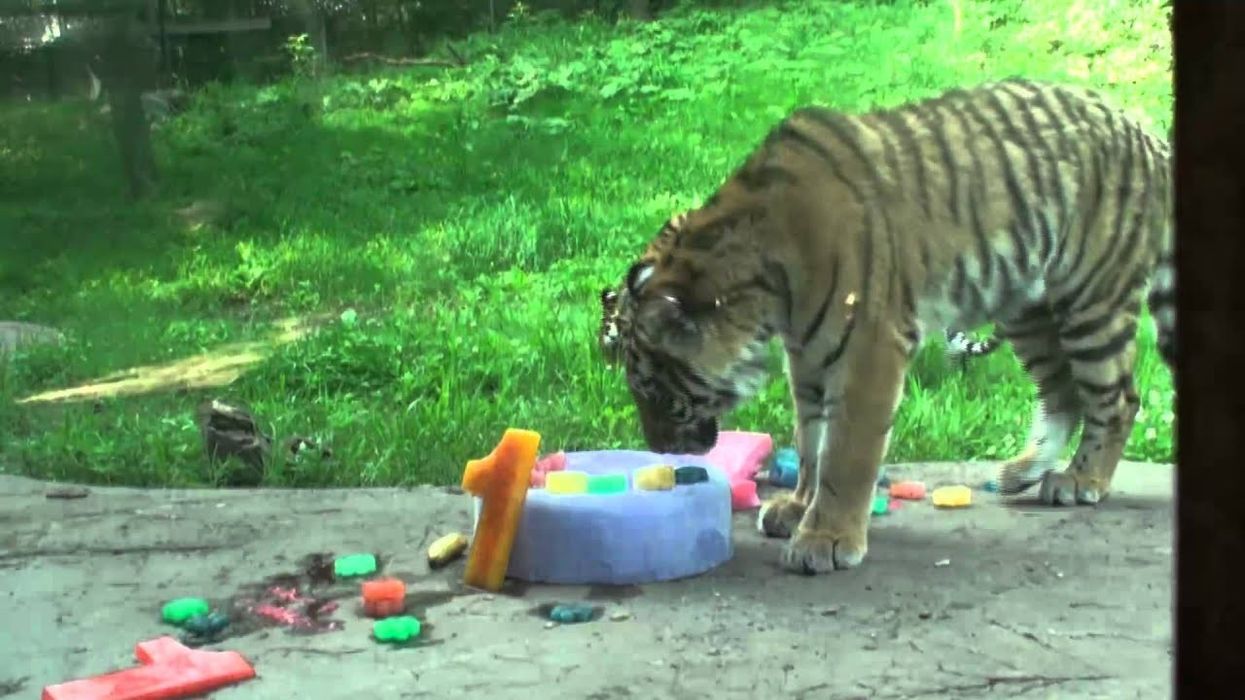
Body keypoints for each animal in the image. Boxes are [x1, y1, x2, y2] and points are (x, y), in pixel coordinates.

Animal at [595, 78, 1174, 575]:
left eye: (654, 391)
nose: (664, 453)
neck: (762, 287)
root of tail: (1145, 129)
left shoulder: (868, 350)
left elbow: (845, 452)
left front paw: (825, 539)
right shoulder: (808, 357)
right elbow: (811, 439)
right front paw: (797, 508)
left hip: (1092, 300)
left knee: (1118, 399)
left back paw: (1081, 479)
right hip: (1025, 303)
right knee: (1062, 392)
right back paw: (1022, 471)